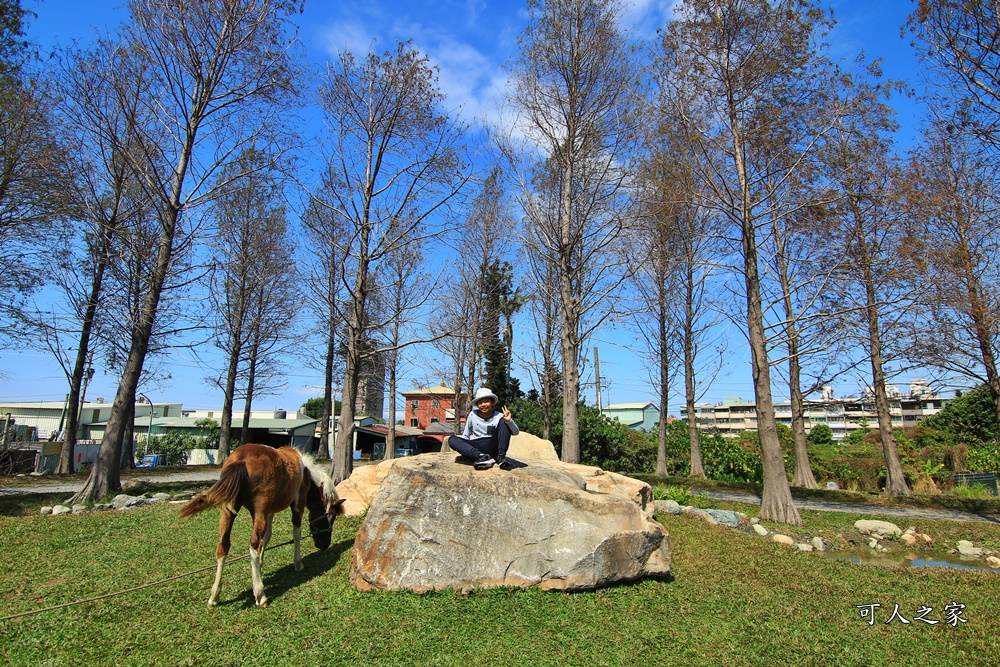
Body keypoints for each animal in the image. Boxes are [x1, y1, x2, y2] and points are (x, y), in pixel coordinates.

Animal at [180, 446, 348, 608]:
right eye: (332, 517)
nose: (325, 545)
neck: (306, 473)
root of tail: (240, 460)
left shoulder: (269, 512)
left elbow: (267, 537)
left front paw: (260, 566)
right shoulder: (297, 507)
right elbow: (296, 534)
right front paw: (298, 563)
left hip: (228, 511)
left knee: (223, 545)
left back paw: (215, 595)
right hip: (257, 511)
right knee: (254, 546)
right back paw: (260, 594)